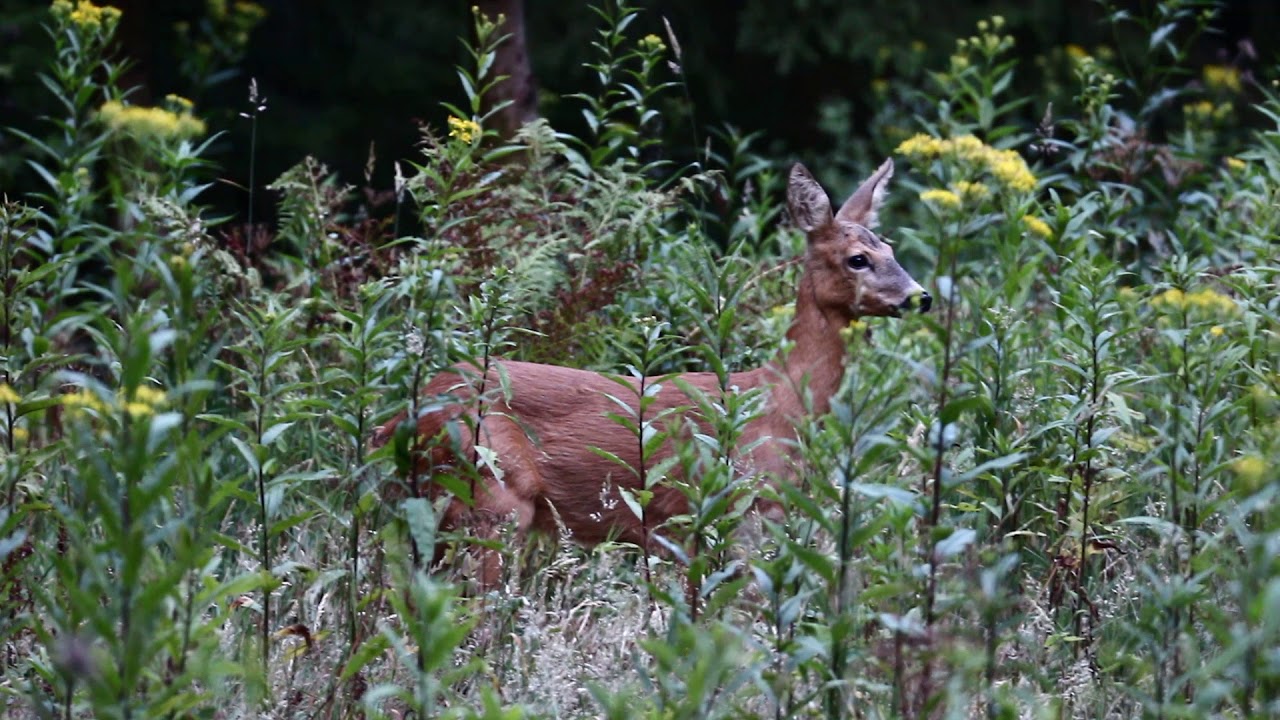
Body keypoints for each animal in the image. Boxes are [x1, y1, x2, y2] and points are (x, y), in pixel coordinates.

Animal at [373, 160, 931, 586]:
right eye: (857, 259)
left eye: (891, 250)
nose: (920, 296)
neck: (780, 401)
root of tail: (401, 418)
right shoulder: (743, 511)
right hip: (491, 494)